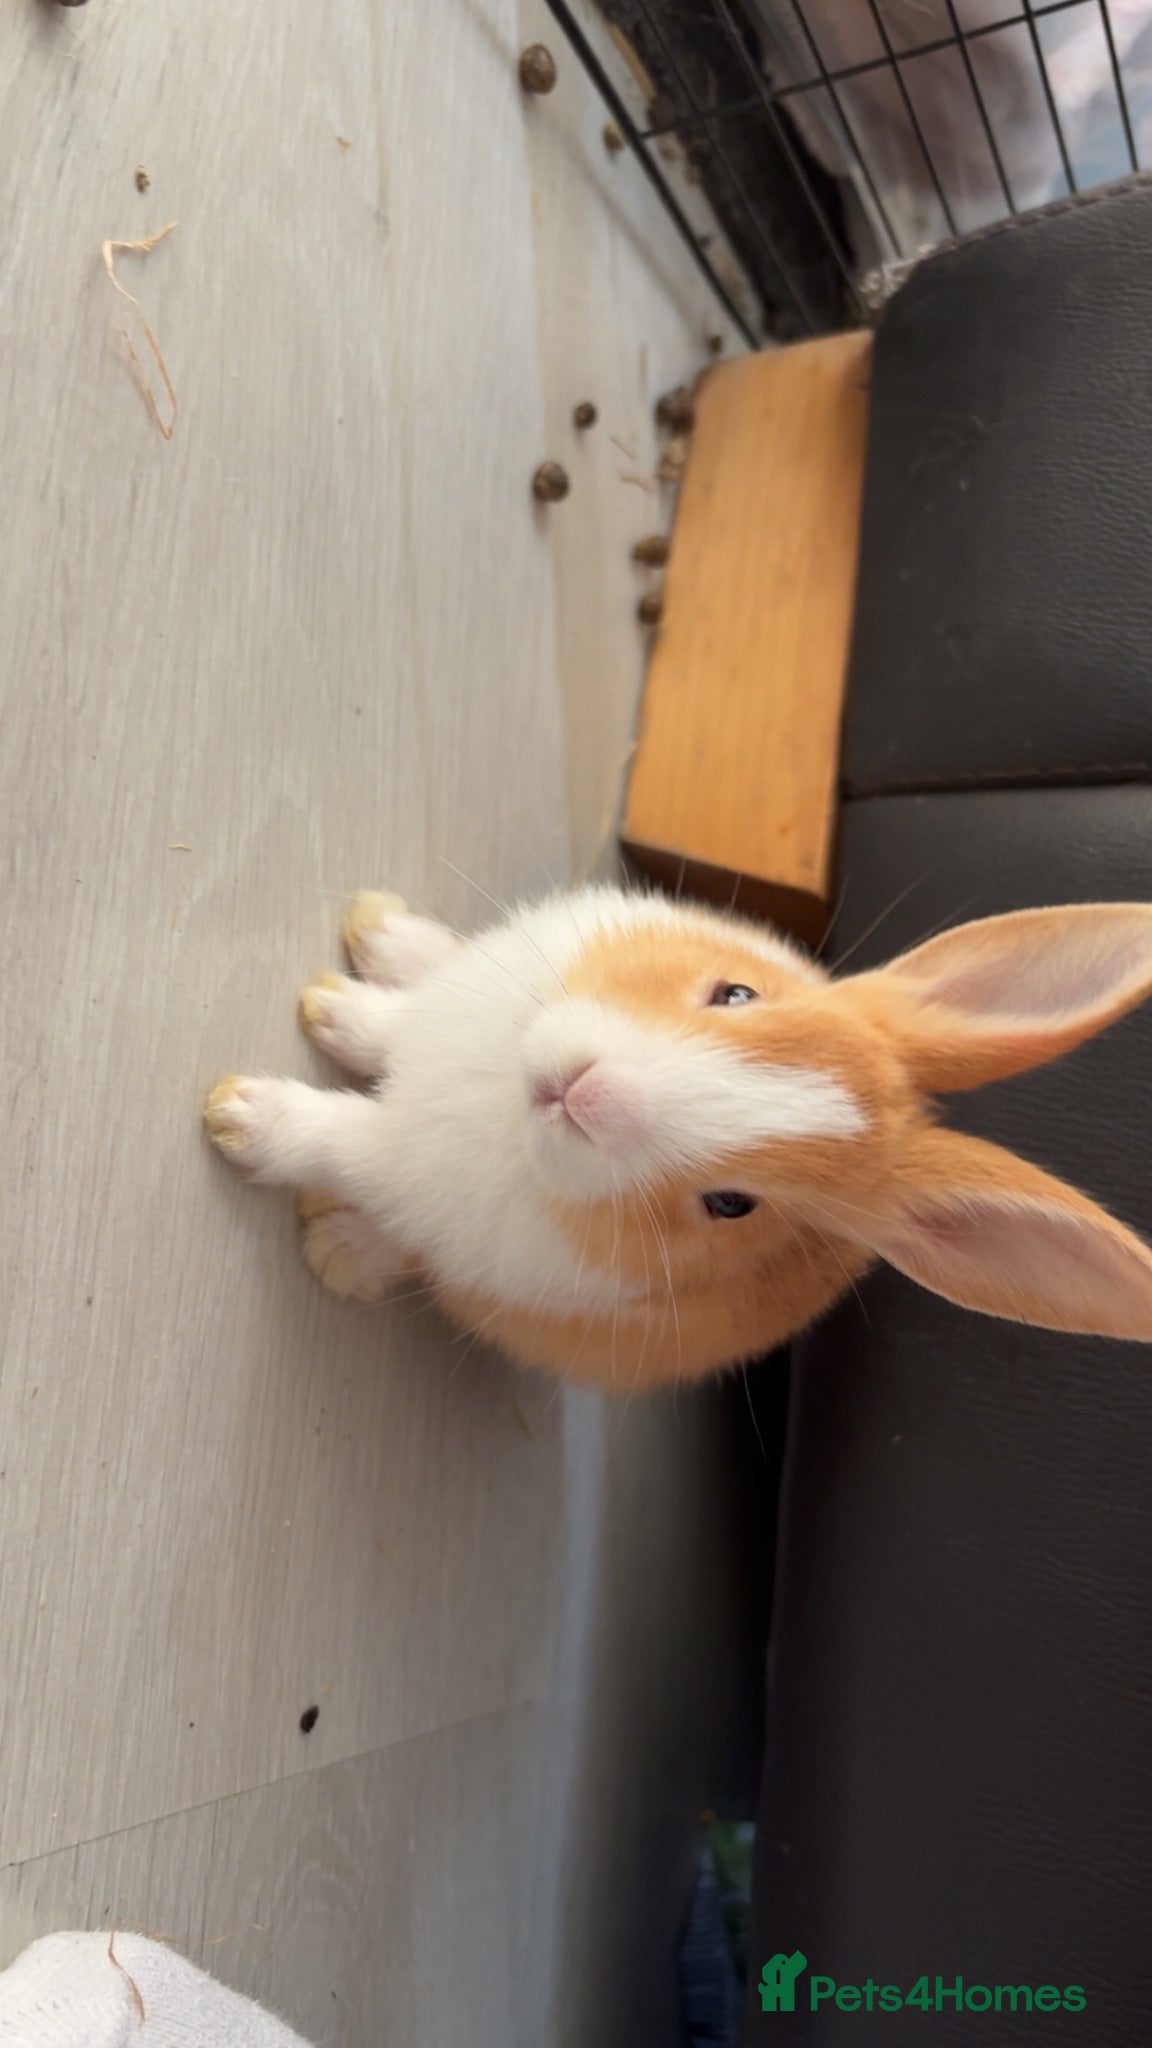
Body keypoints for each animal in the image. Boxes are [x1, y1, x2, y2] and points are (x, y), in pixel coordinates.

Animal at [204, 885, 1152, 1391]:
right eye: (737, 993)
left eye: (732, 1205)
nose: (582, 1088)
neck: (504, 1103)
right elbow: (395, 1029)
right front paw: (333, 1006)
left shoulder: (414, 1170)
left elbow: (346, 1140)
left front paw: (238, 1115)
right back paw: (384, 935)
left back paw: (338, 1249)